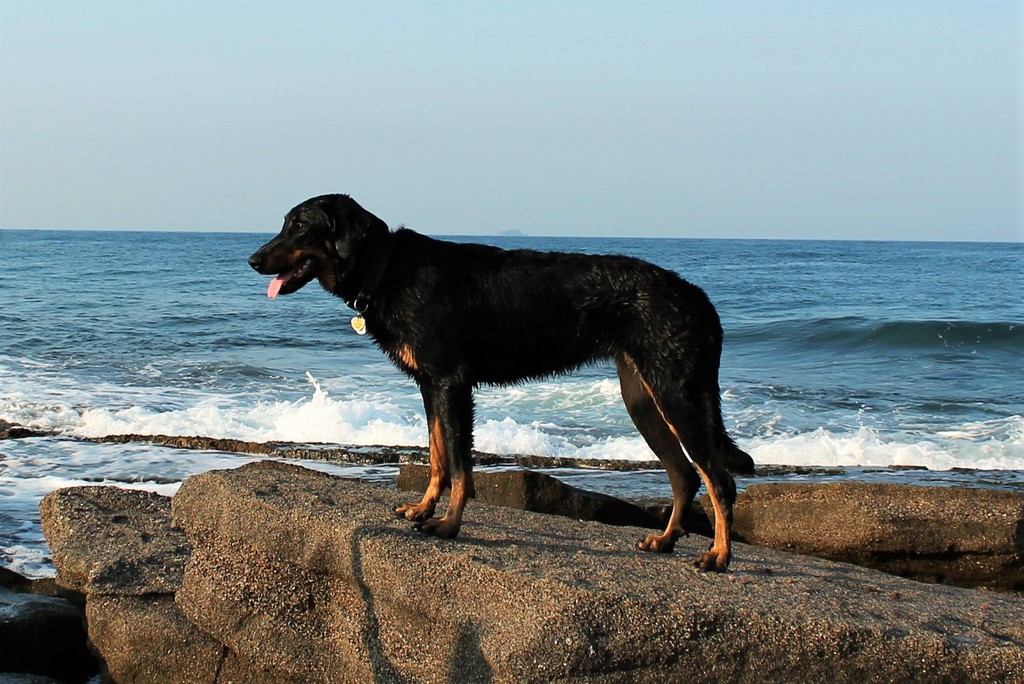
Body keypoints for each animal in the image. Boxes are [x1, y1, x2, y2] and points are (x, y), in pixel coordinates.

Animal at [248, 194, 753, 571]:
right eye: (285, 224)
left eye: (299, 226)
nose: (252, 260)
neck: (388, 269)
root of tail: (698, 298)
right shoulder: (430, 387)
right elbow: (437, 458)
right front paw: (423, 509)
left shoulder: (452, 385)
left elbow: (460, 467)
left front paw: (449, 525)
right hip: (644, 402)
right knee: (685, 475)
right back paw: (665, 541)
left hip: (676, 396)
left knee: (719, 480)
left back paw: (719, 555)